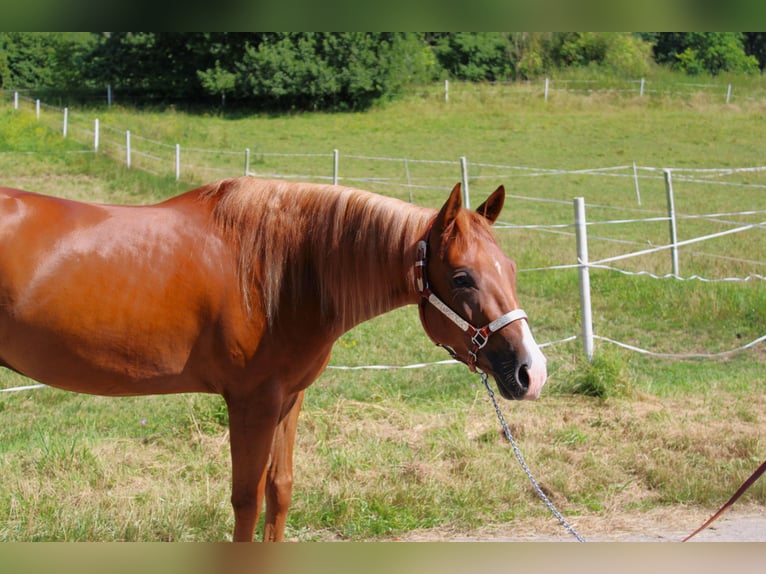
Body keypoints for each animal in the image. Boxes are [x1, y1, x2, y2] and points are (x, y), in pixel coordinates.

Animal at [1, 178, 552, 544]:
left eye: (510, 268)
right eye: (461, 277)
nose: (532, 372)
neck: (283, 271)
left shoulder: (288, 399)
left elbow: (278, 491)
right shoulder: (252, 404)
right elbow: (246, 499)